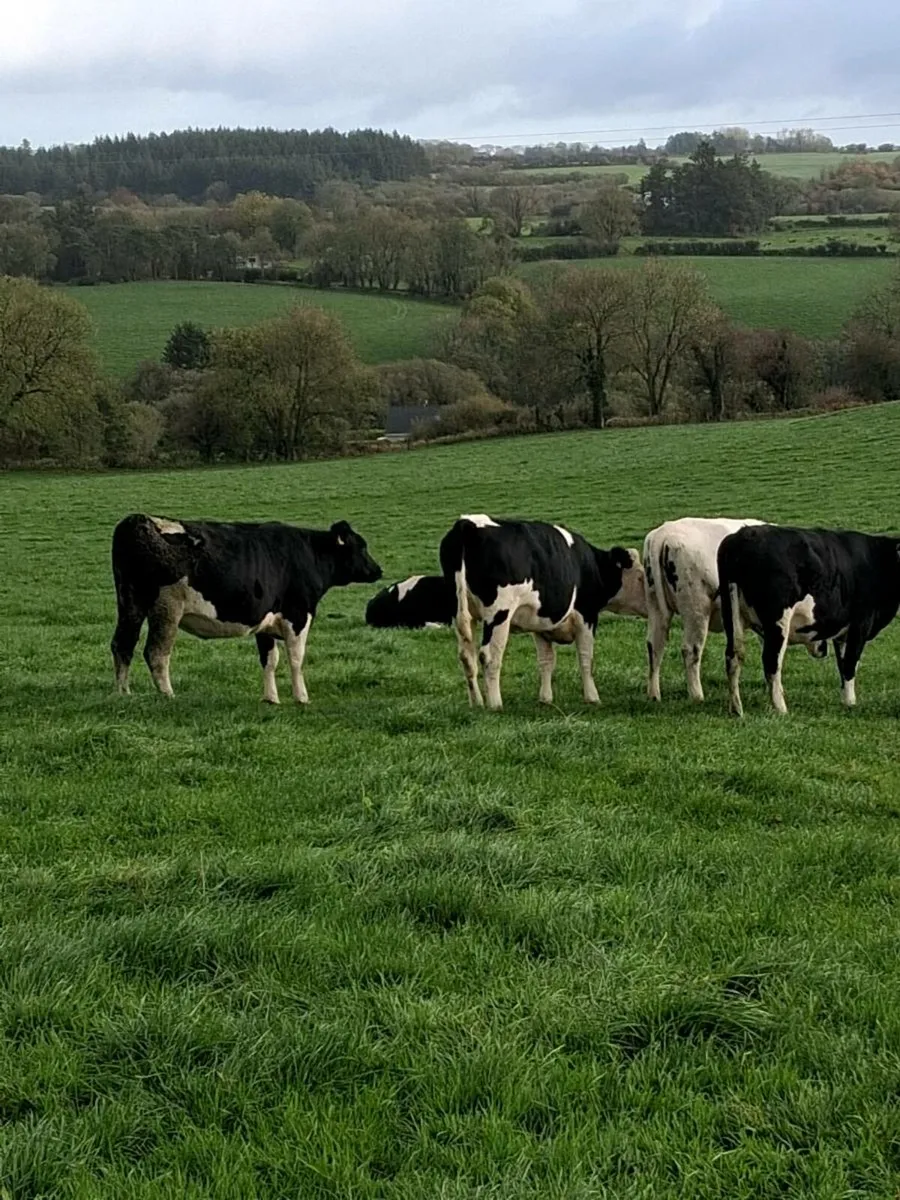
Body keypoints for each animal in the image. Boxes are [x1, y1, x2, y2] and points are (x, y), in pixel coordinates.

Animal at [110, 513, 382, 703]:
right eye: (361, 547)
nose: (378, 570)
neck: (308, 553)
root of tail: (138, 520)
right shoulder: (298, 616)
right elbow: (296, 658)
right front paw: (302, 697)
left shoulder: (266, 622)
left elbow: (269, 660)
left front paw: (271, 698)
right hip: (167, 608)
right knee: (156, 653)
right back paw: (168, 694)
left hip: (129, 605)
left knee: (122, 645)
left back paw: (124, 693)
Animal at [438, 514, 647, 710]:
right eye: (640, 577)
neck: (591, 565)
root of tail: (469, 523)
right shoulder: (586, 615)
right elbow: (586, 657)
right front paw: (592, 697)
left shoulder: (540, 626)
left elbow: (546, 661)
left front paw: (546, 699)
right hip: (499, 614)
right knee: (489, 655)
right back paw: (495, 704)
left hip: (463, 615)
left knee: (467, 656)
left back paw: (477, 703)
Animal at [643, 516, 766, 702]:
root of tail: (663, 533)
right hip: (696, 608)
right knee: (691, 650)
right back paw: (697, 696)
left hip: (655, 604)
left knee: (655, 645)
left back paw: (654, 695)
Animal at [718, 524, 900, 716]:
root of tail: (744, 535)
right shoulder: (861, 624)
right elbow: (850, 664)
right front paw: (851, 703)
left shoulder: (843, 631)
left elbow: (842, 665)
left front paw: (846, 701)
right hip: (778, 622)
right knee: (771, 662)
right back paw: (781, 709)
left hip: (731, 616)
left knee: (733, 657)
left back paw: (736, 709)